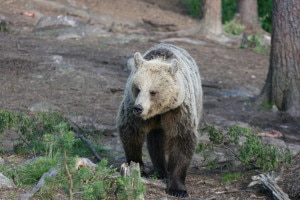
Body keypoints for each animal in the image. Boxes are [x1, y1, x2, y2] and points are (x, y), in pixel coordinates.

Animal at [116, 43, 203, 198]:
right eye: (137, 88)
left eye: (153, 92)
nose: (138, 108)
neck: (159, 111)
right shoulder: (132, 108)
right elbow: (131, 133)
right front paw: (140, 169)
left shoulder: (178, 110)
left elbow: (182, 139)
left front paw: (178, 189)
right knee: (156, 140)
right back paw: (159, 170)